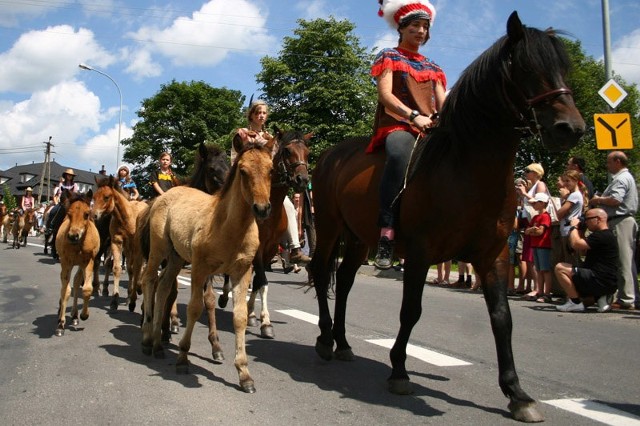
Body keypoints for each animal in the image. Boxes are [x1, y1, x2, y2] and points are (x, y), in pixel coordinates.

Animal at [54, 192, 99, 336]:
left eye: (86, 214)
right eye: (69, 213)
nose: (73, 236)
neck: (78, 245)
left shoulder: (88, 262)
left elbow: (87, 289)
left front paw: (84, 315)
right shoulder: (66, 262)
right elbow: (66, 290)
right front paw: (60, 324)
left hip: (80, 265)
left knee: (76, 280)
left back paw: (74, 316)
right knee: (66, 284)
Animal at [92, 175, 148, 312]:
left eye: (107, 196)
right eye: (94, 197)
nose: (94, 215)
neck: (126, 218)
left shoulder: (136, 247)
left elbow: (137, 268)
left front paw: (134, 297)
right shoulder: (116, 242)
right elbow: (116, 268)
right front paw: (114, 300)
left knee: (139, 267)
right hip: (125, 248)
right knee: (130, 269)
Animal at [141, 141, 274, 394]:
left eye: (271, 170)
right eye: (243, 171)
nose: (262, 209)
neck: (228, 227)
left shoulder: (242, 272)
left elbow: (239, 317)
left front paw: (244, 374)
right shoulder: (200, 268)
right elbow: (195, 308)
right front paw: (183, 358)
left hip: (176, 258)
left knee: (164, 287)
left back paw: (158, 344)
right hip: (159, 250)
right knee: (149, 281)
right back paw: (147, 338)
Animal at [310, 11, 584, 422]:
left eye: (564, 67)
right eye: (526, 67)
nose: (571, 129)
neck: (466, 170)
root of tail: (330, 154)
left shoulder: (494, 256)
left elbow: (502, 319)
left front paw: (517, 393)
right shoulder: (420, 253)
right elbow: (411, 311)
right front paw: (399, 370)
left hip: (358, 239)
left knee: (342, 281)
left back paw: (342, 343)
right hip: (328, 228)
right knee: (319, 271)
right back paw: (326, 338)